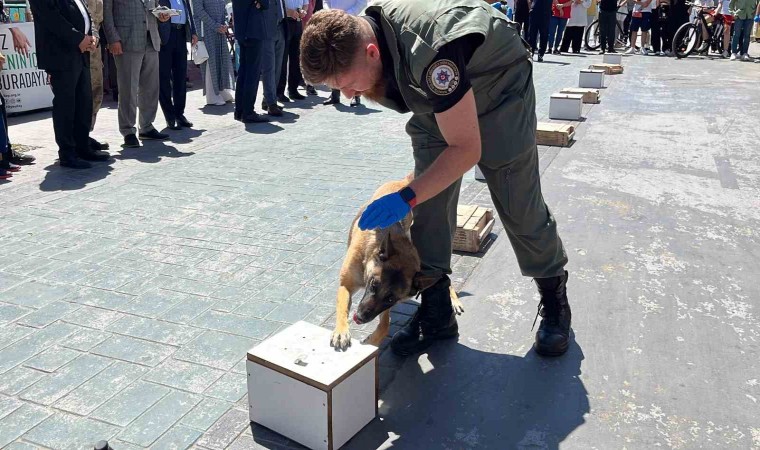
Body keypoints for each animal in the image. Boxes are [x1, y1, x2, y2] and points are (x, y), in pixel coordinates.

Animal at [332, 177, 464, 352]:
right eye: (373, 285)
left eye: (390, 299)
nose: (360, 317)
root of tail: (402, 182)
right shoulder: (345, 285)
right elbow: (342, 307)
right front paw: (341, 332)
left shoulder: (384, 306)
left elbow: (385, 325)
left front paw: (372, 341)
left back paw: (453, 299)